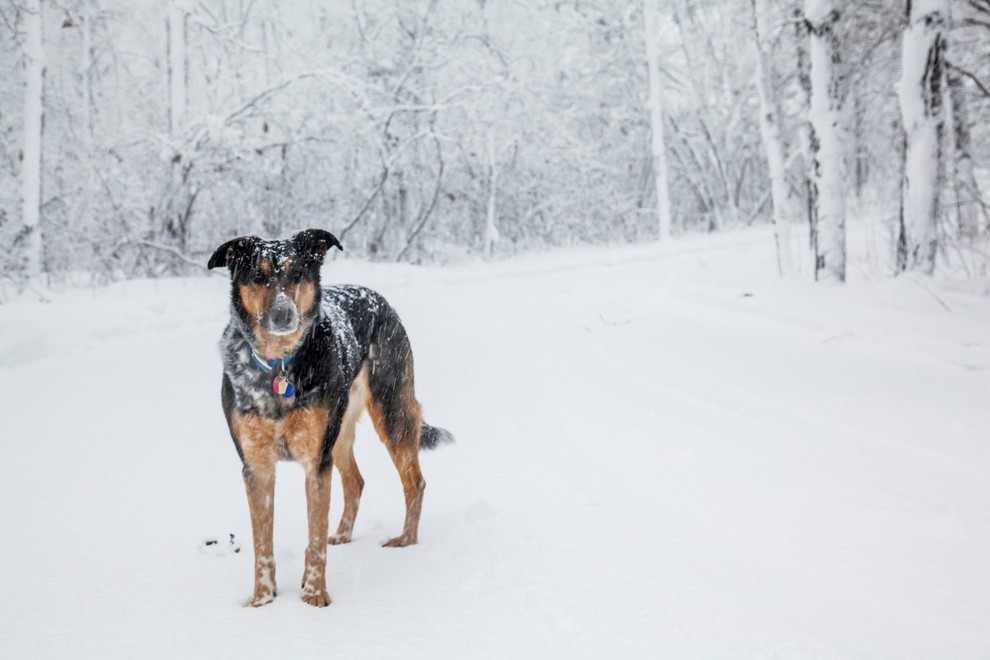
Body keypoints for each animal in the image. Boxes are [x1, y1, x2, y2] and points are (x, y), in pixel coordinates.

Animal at [211, 228, 456, 608]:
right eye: (258, 276)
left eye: (297, 273)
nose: (283, 315)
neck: (280, 365)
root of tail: (377, 298)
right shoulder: (256, 467)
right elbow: (262, 544)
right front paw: (263, 601)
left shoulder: (316, 462)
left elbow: (314, 537)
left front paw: (314, 595)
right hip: (338, 433)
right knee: (355, 481)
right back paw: (342, 534)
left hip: (389, 412)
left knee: (414, 481)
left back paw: (406, 541)